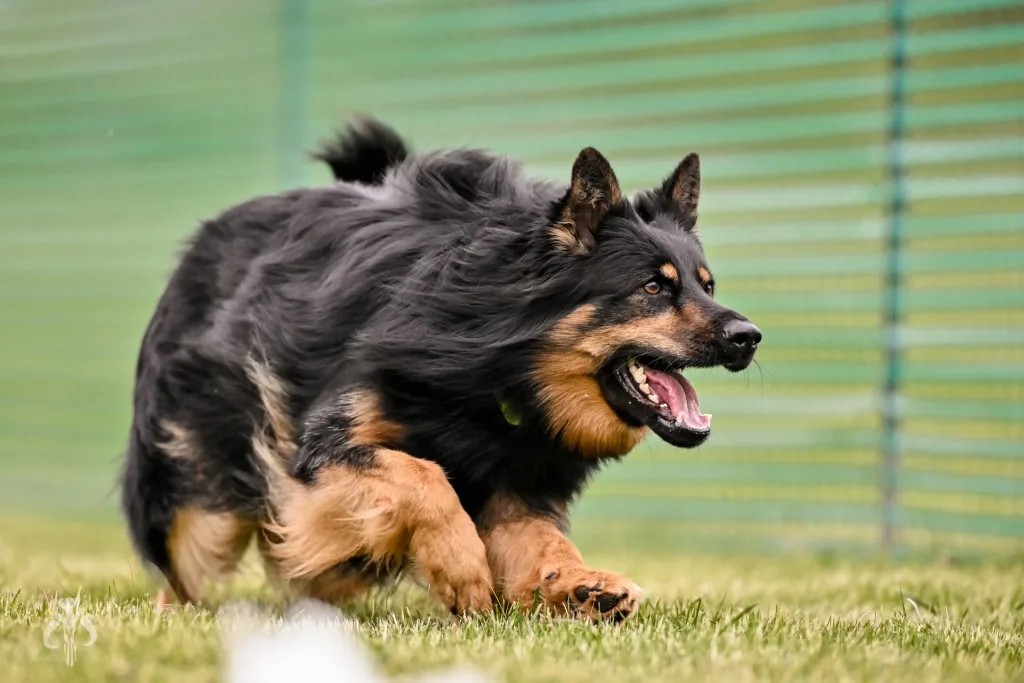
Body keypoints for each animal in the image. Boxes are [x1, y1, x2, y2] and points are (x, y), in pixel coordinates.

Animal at [119, 116, 761, 618]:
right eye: (653, 287)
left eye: (706, 286)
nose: (749, 338)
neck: (500, 367)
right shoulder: (322, 450)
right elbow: (423, 477)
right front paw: (461, 568)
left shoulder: (519, 479)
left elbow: (543, 540)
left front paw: (580, 585)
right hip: (207, 494)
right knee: (188, 556)